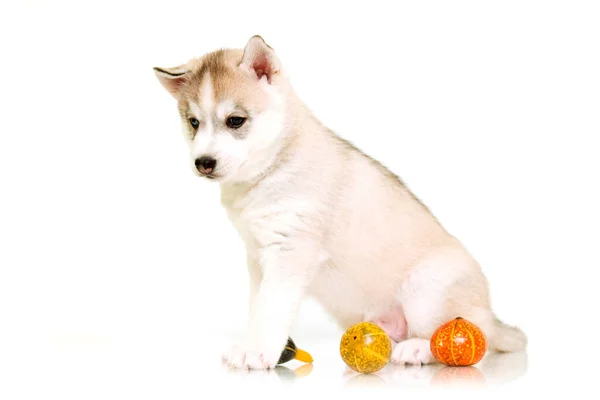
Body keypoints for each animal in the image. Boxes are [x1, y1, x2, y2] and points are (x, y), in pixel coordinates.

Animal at [154, 36, 524, 370]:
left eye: (235, 120)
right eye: (193, 123)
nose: (203, 163)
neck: (273, 166)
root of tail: (491, 315)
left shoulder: (291, 251)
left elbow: (271, 307)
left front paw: (257, 352)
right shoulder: (258, 257)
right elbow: (258, 306)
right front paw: (256, 345)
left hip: (427, 291)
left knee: (460, 339)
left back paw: (418, 349)